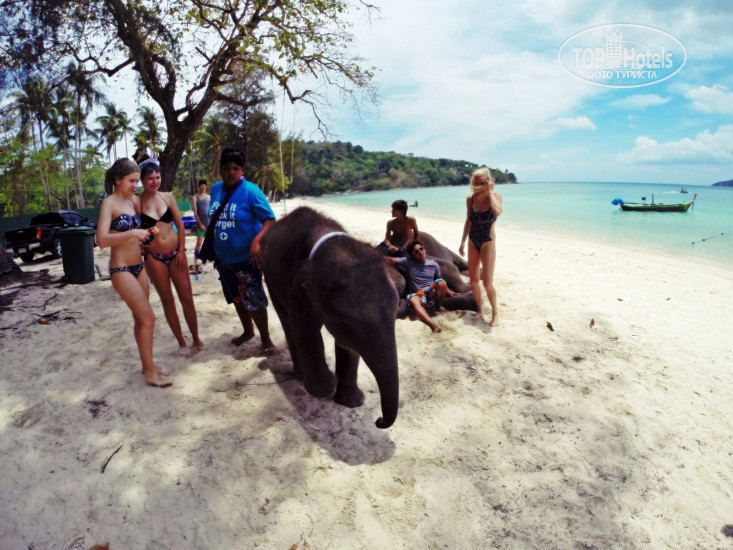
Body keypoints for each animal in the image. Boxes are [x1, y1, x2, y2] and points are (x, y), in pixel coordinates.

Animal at [261, 207, 400, 429]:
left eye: (396, 313)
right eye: (345, 325)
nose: (378, 420)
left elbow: (348, 347)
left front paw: (352, 402)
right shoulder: (297, 290)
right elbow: (305, 332)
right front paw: (326, 386)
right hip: (270, 276)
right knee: (287, 324)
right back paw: (300, 376)